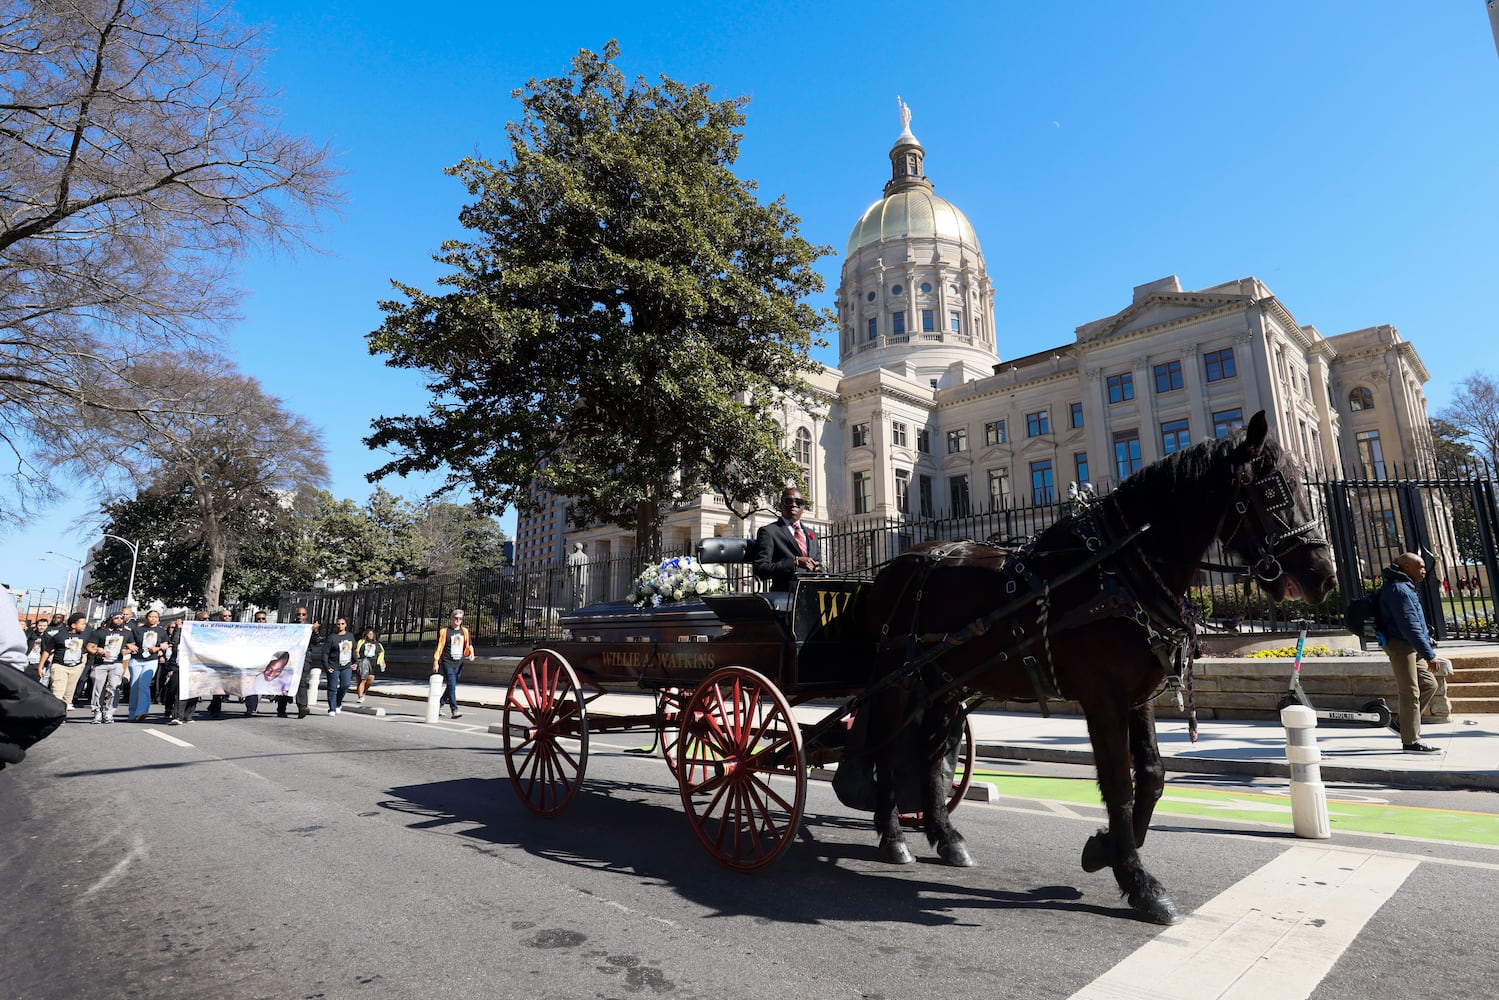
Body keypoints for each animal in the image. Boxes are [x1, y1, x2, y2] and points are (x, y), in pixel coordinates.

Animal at [863, 410, 1343, 929]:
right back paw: (893, 838)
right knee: (886, 749)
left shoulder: (1140, 695)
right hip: (898, 681)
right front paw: (1140, 883)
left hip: (947, 683)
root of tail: (897, 563)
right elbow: (1119, 785)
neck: (1120, 570)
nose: (1324, 576)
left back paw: (946, 838)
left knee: (932, 755)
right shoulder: (1103, 698)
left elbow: (1151, 776)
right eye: (1274, 492)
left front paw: (1104, 849)